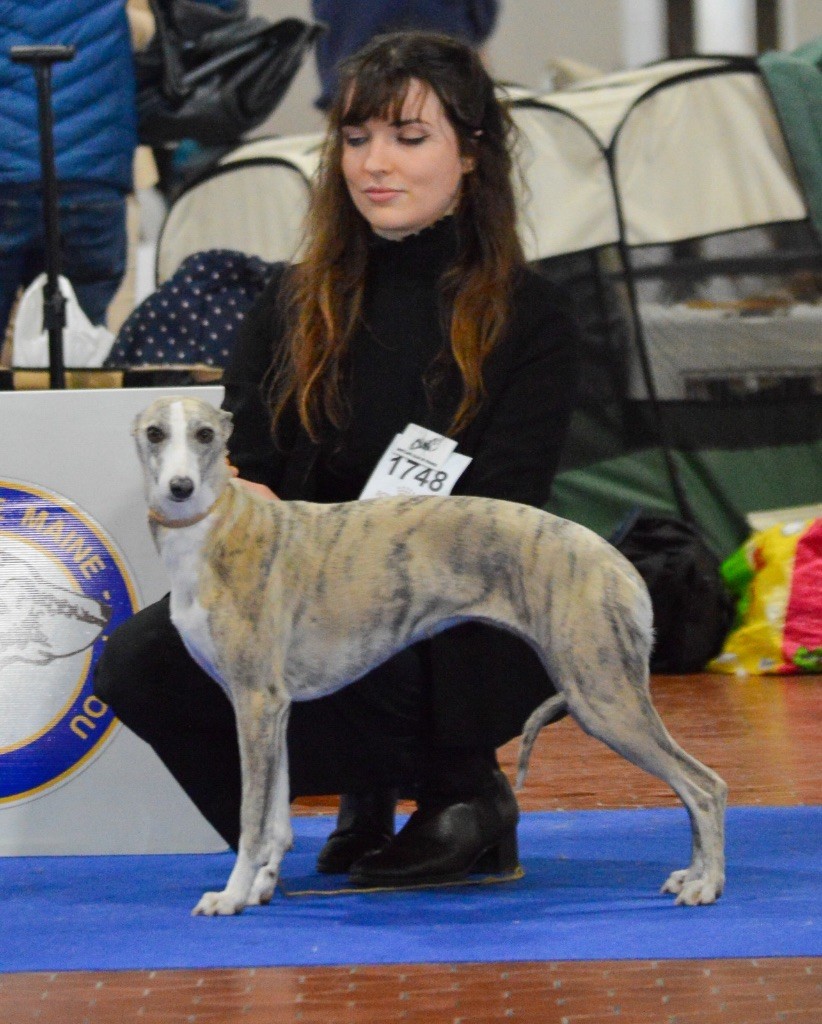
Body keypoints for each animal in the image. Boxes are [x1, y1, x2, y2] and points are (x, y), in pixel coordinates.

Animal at [133, 395, 724, 917]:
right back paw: (691, 874)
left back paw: (707, 883)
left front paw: (230, 896)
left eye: (205, 434)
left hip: (601, 695)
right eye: (154, 433)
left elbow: (251, 821)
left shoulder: (254, 702)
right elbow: (276, 818)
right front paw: (260, 888)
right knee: (697, 787)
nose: (180, 489)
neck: (217, 528)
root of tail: (615, 560)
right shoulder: (271, 708)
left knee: (704, 787)